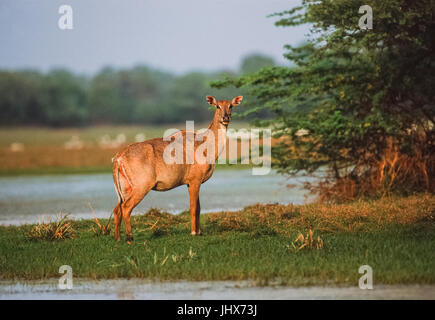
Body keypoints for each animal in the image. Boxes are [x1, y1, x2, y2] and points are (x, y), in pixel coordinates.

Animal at [111, 96, 242, 241]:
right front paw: (193, 232)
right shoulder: (195, 180)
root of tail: (118, 158)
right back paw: (129, 238)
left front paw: (200, 232)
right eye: (217, 106)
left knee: (117, 210)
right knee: (126, 207)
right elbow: (193, 208)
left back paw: (118, 238)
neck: (206, 146)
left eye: (231, 106)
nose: (226, 117)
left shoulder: (191, 183)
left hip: (124, 188)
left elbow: (199, 208)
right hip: (142, 185)